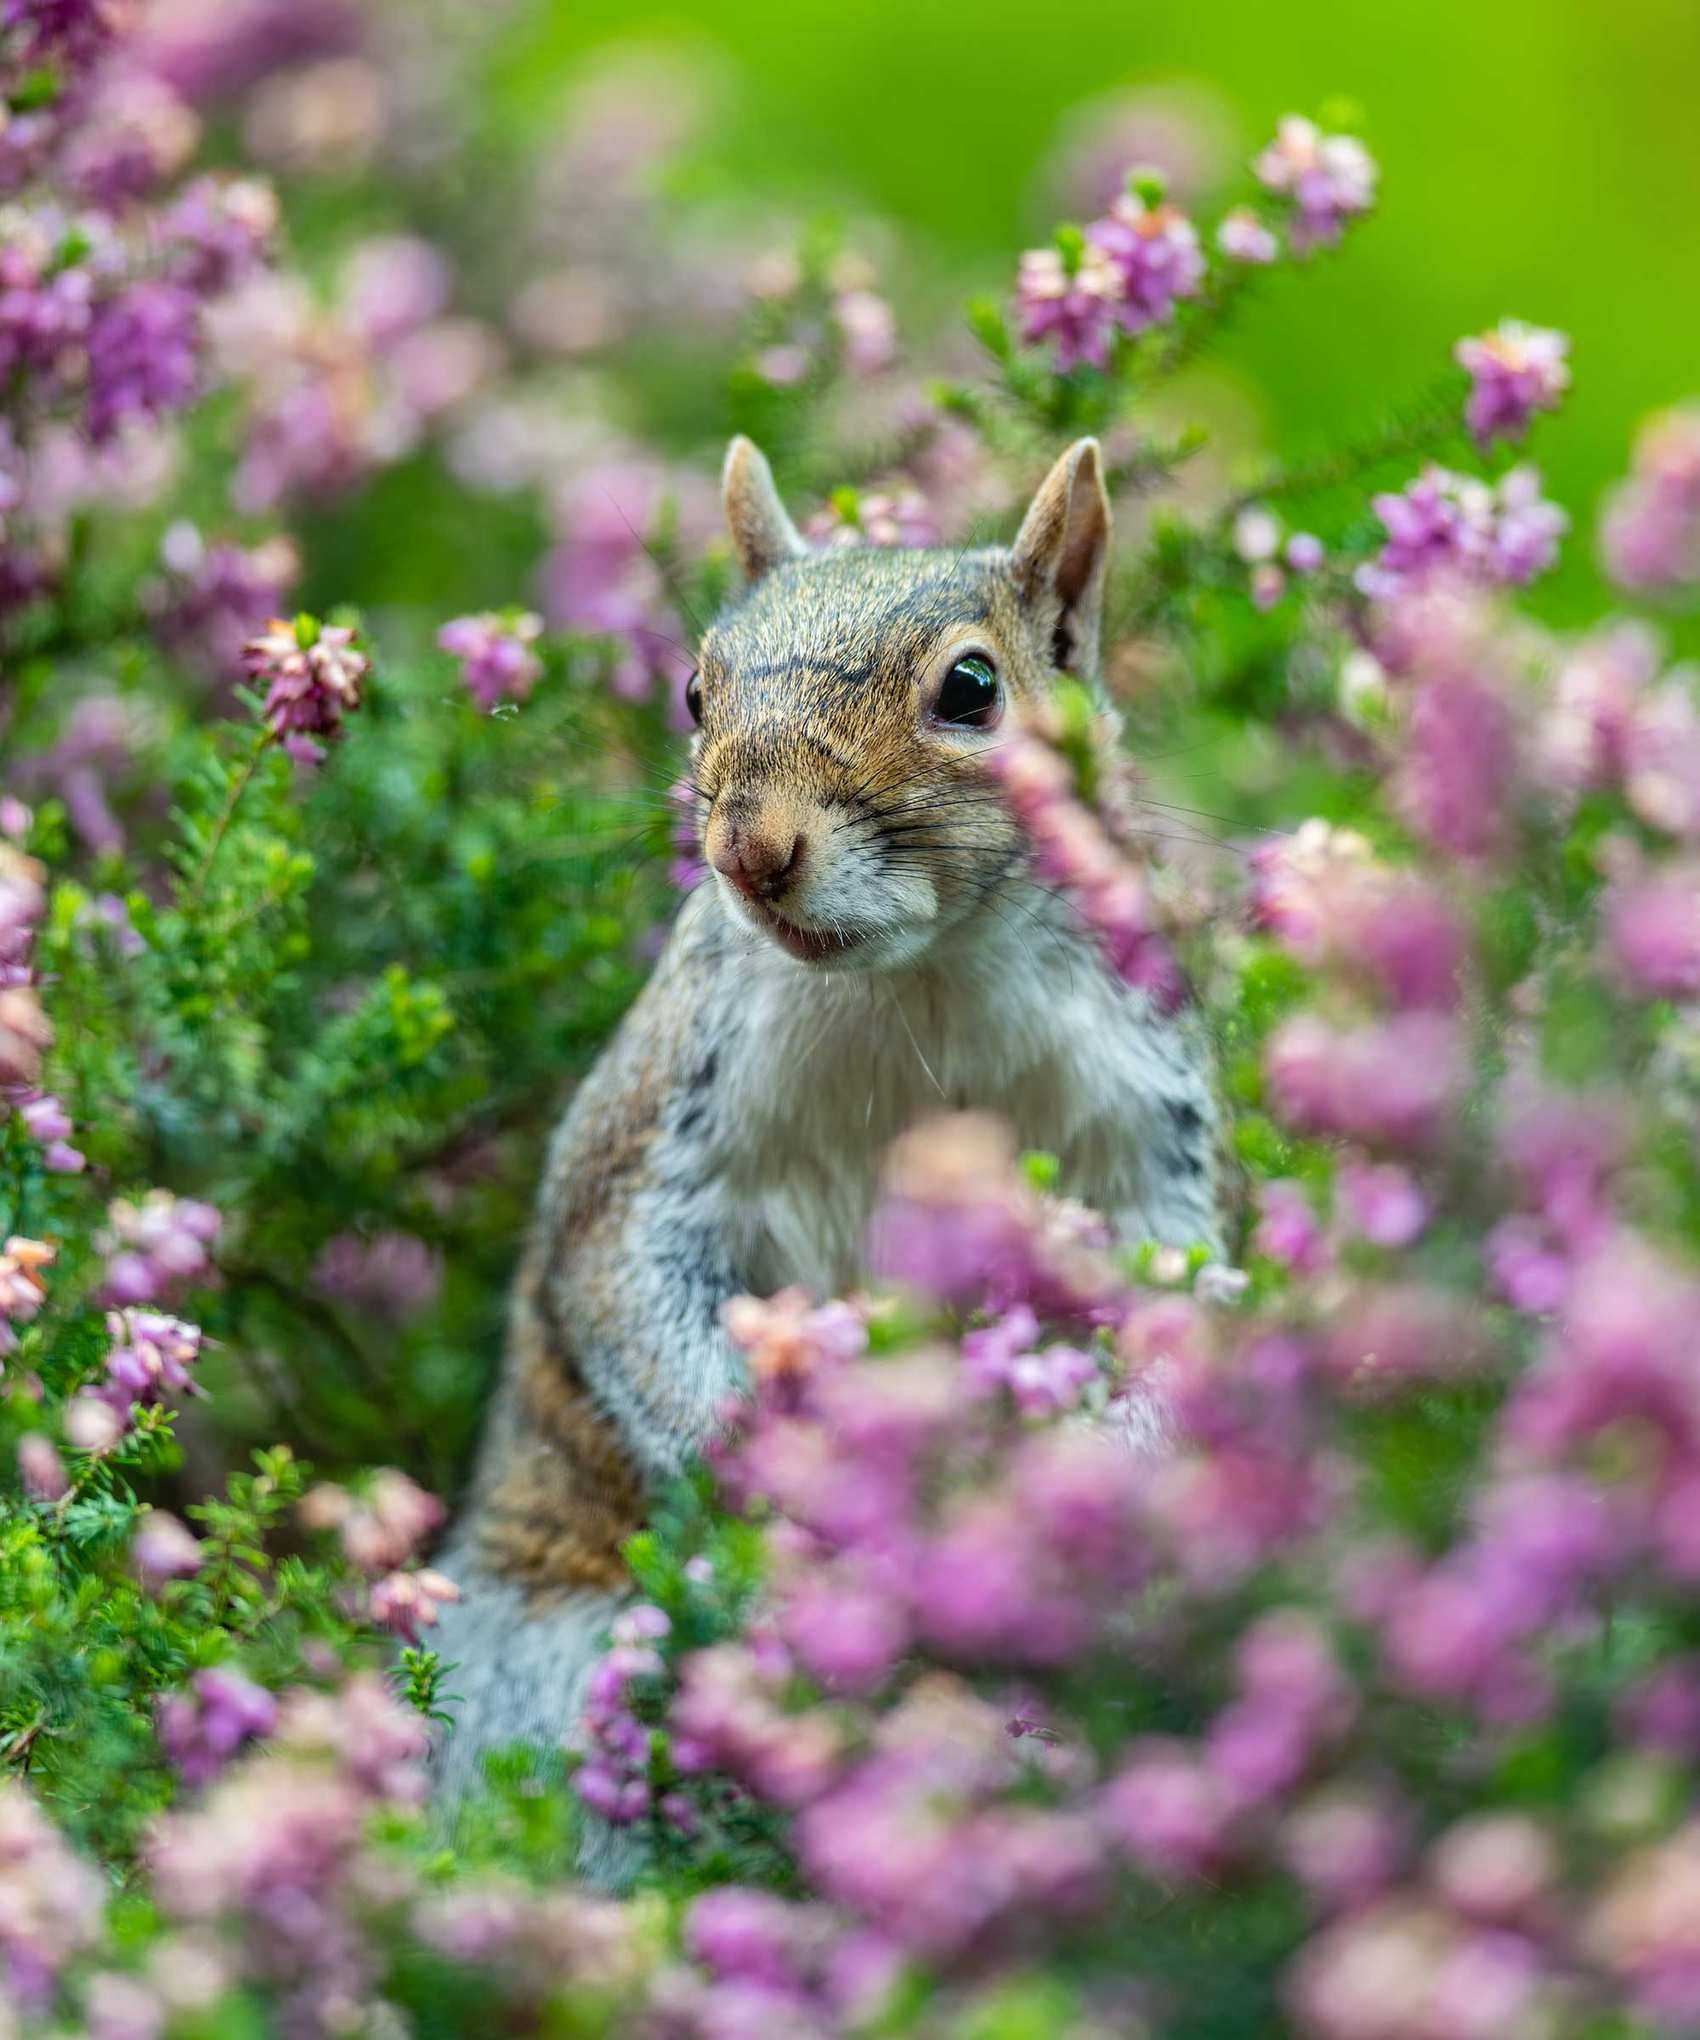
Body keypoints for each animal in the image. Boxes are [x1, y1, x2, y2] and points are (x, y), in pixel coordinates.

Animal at [429, 435, 1222, 1828]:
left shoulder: (1147, 1128)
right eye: (694, 689)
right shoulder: (661, 1117)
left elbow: (1176, 1299)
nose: (752, 845)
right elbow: (620, 1279)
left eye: (972, 687)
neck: (924, 980)